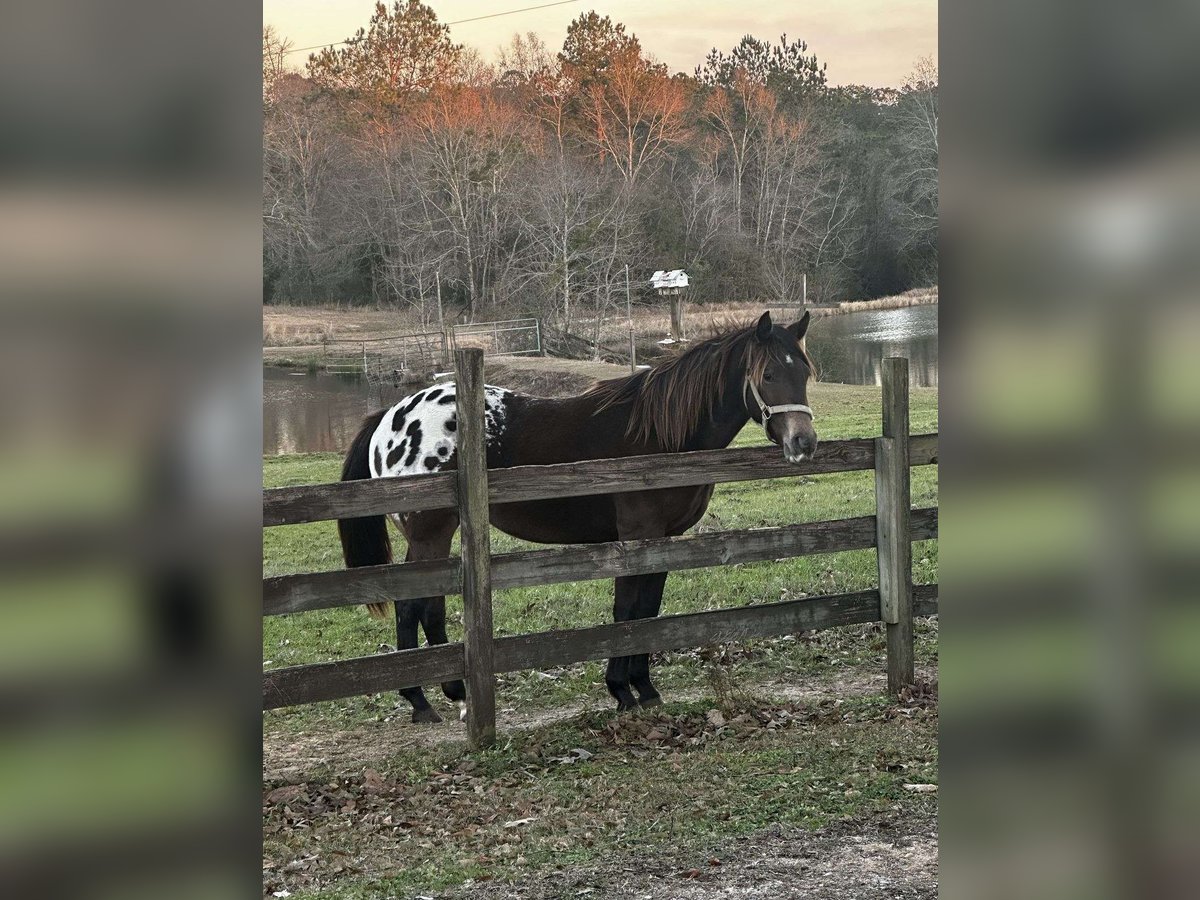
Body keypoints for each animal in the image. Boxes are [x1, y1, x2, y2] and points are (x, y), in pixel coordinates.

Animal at [336, 314, 816, 724]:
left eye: (805, 374)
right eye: (768, 375)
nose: (804, 442)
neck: (660, 436)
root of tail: (391, 417)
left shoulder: (664, 540)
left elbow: (649, 610)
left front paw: (644, 688)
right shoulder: (635, 537)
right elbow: (627, 610)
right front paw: (621, 690)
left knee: (426, 606)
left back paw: (445, 694)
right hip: (429, 533)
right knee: (414, 605)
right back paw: (426, 699)